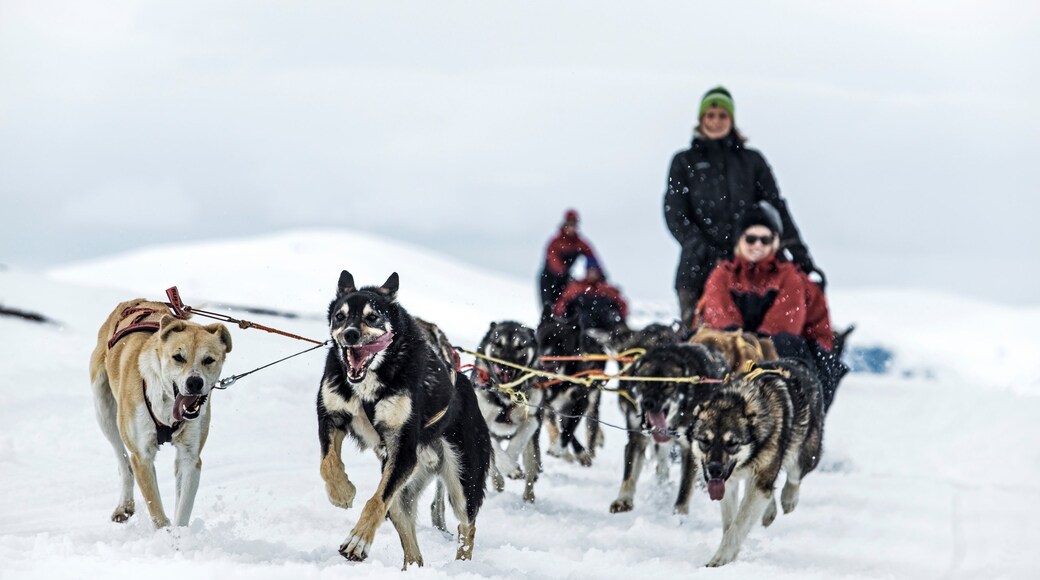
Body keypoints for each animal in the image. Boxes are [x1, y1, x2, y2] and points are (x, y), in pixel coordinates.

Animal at [88, 301, 231, 530]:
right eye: (178, 357)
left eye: (208, 359)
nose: (194, 382)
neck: (167, 407)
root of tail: (137, 301)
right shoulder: (142, 457)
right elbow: (156, 510)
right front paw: (165, 534)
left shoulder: (190, 458)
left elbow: (183, 510)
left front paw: (180, 537)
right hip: (105, 413)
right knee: (124, 463)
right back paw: (124, 505)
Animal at [316, 272, 490, 573]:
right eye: (340, 316)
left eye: (373, 317)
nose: (350, 334)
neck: (369, 383)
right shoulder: (330, 417)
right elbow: (328, 464)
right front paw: (342, 491)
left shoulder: (403, 446)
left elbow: (375, 501)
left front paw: (357, 542)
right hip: (403, 480)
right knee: (405, 527)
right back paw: (414, 567)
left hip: (462, 480)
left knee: (467, 526)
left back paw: (461, 567)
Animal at [607, 343, 728, 515]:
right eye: (645, 383)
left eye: (668, 386)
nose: (648, 403)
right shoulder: (637, 438)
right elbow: (629, 473)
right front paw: (623, 500)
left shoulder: (690, 448)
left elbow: (685, 486)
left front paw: (680, 513)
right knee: (662, 464)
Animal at [686, 359, 823, 569]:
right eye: (704, 441)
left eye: (732, 443)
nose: (714, 470)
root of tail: (799, 362)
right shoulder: (730, 484)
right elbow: (730, 524)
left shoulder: (759, 478)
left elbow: (738, 524)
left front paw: (720, 558)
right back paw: (770, 510)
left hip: (804, 450)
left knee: (794, 475)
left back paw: (789, 498)